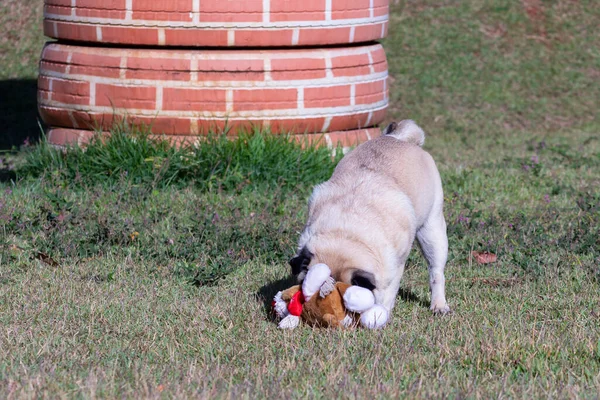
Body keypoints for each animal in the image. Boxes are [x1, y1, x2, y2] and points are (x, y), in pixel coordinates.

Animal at [290, 120, 450, 318]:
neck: (346, 233)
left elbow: (386, 295)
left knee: (436, 273)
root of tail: (398, 138)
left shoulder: (392, 271)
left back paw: (439, 305)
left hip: (432, 232)